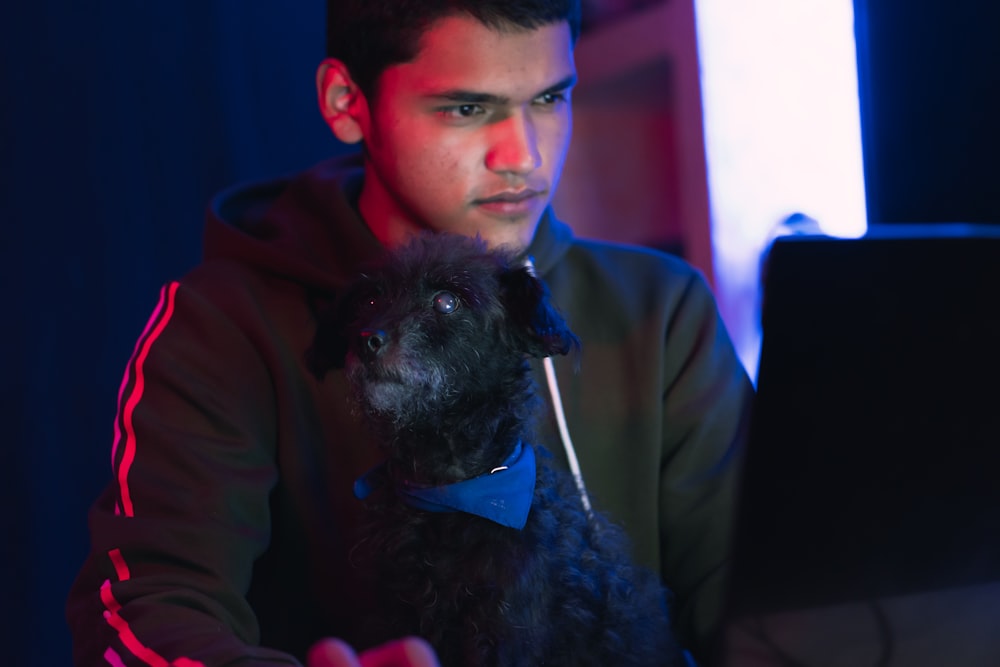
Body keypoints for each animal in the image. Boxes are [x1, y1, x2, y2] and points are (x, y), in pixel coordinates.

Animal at [308, 232, 684, 664]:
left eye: (447, 302)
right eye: (369, 301)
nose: (367, 341)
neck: (448, 494)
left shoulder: (503, 632)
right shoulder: (389, 616)